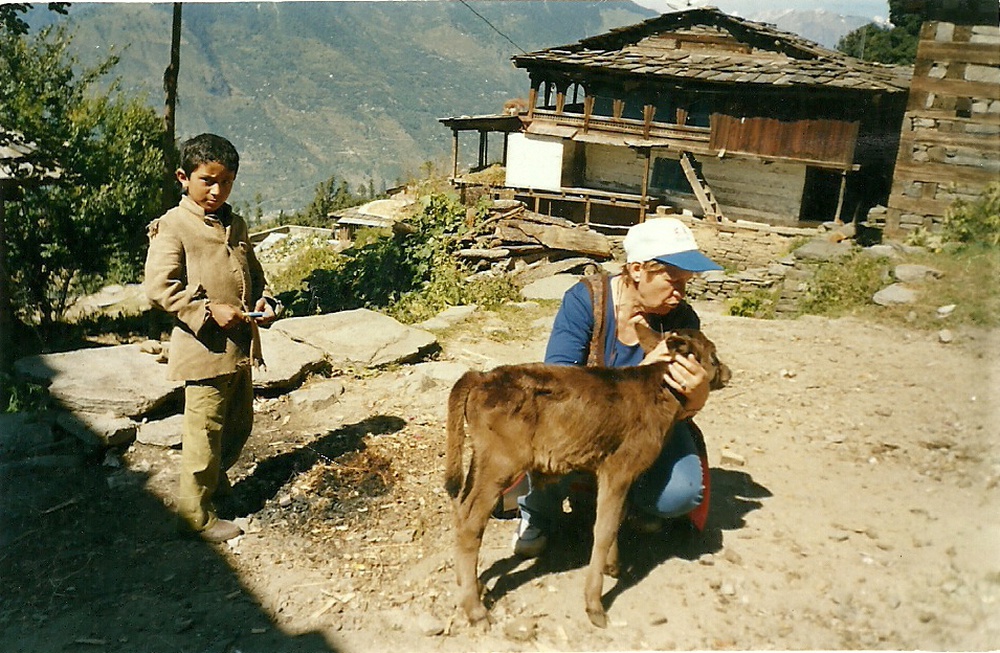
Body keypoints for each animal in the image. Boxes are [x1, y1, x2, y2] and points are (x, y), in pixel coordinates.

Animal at [446, 326, 728, 628]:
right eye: (713, 355)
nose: (727, 372)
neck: (660, 392)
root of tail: (481, 376)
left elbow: (617, 518)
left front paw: (613, 565)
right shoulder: (619, 467)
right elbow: (604, 529)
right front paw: (594, 604)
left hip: (482, 460)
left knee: (461, 508)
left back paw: (472, 585)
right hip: (501, 462)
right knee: (471, 523)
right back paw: (475, 609)